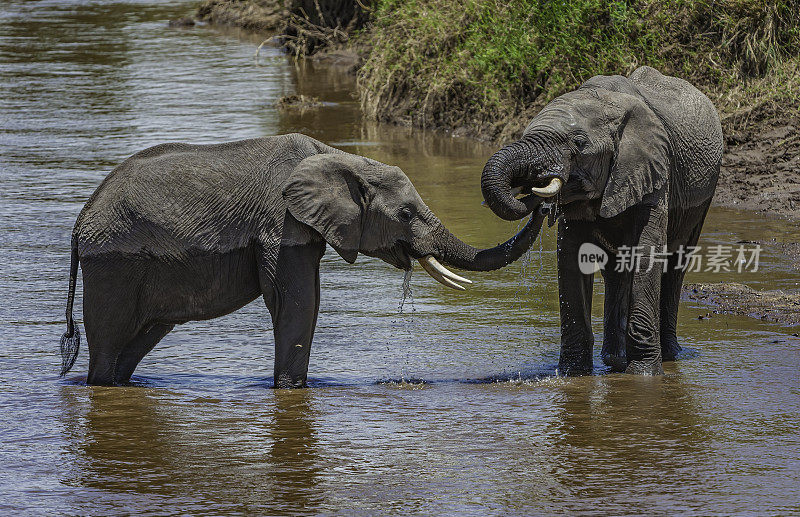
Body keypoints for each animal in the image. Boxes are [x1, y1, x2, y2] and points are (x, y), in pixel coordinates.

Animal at [59, 133, 548, 388]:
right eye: (406, 215)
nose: (537, 187)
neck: (338, 157)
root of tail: (80, 222)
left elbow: (305, 304)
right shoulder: (282, 226)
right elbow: (296, 305)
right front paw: (292, 391)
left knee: (138, 340)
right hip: (113, 263)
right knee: (109, 340)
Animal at [482, 66, 724, 376]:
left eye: (579, 143)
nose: (538, 192)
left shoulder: (656, 169)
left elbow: (647, 252)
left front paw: (643, 376)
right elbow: (570, 256)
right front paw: (574, 374)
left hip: (703, 199)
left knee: (675, 265)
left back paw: (669, 356)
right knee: (616, 270)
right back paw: (613, 360)